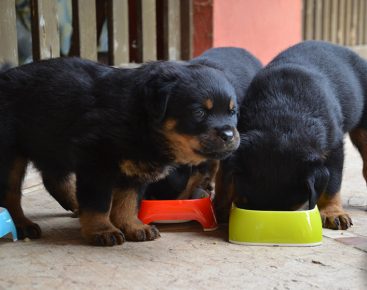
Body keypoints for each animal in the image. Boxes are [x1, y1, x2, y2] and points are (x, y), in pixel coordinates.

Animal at [0, 56, 242, 245]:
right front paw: (102, 230)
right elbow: (98, 202)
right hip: (11, 155)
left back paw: (76, 206)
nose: (229, 135)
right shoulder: (96, 163)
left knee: (54, 179)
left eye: (232, 112)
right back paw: (22, 225)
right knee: (10, 193)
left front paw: (133, 226)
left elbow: (128, 201)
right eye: (199, 113)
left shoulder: (136, 168)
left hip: (51, 143)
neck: (140, 120)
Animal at [216, 40, 367, 229]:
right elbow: (224, 179)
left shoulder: (334, 147)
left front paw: (333, 212)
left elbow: (332, 183)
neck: (282, 118)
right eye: (245, 202)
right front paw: (220, 208)